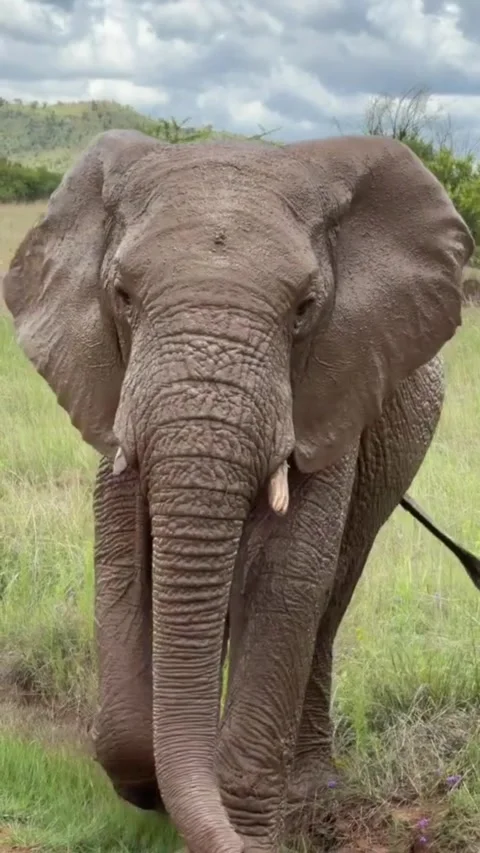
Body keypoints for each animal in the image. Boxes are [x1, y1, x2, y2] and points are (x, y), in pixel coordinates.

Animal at [4, 128, 480, 853]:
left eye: (306, 308)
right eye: (122, 296)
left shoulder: (335, 385)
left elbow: (287, 578)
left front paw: (245, 825)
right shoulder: (110, 387)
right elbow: (122, 567)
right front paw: (152, 790)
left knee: (328, 598)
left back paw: (311, 789)